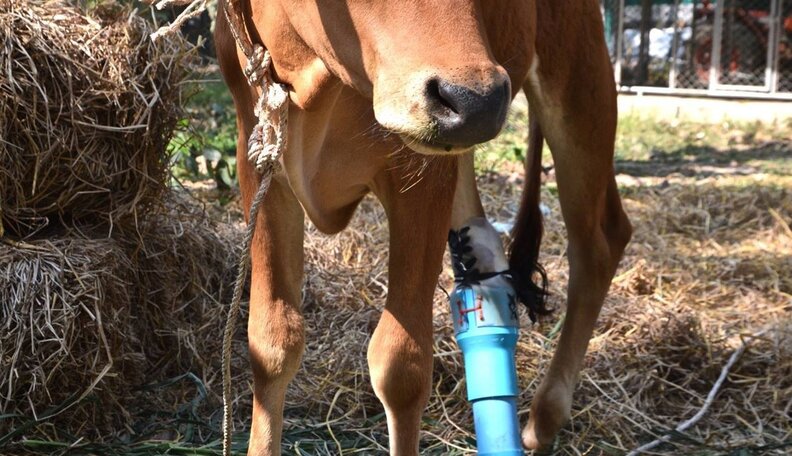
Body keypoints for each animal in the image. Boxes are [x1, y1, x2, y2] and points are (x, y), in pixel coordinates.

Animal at [215, 0, 632, 454]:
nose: (477, 102)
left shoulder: (423, 175)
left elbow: (400, 367)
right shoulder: (261, 151)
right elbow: (271, 342)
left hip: (577, 80)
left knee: (601, 241)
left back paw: (545, 417)